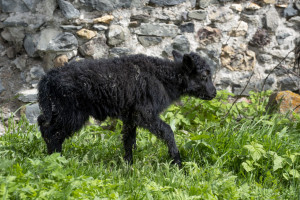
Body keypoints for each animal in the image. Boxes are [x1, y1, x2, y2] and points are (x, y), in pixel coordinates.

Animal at [37, 50, 216, 166]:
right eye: (204, 76)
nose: (214, 93)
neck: (164, 77)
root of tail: (48, 77)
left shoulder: (131, 116)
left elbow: (129, 139)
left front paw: (128, 165)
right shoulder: (144, 113)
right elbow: (167, 131)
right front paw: (177, 162)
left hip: (57, 108)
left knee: (43, 123)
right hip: (71, 112)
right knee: (52, 132)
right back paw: (57, 158)